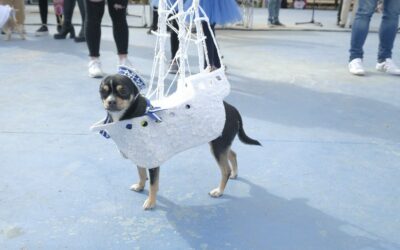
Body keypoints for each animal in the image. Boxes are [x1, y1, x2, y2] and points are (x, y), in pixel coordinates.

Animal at [99, 72, 260, 209]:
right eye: (103, 91)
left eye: (123, 91)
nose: (111, 102)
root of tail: (233, 108)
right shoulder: (141, 154)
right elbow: (141, 173)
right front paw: (140, 186)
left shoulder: (152, 159)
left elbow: (153, 184)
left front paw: (151, 202)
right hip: (219, 143)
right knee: (232, 154)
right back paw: (234, 173)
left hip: (217, 146)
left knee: (225, 170)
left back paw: (219, 191)